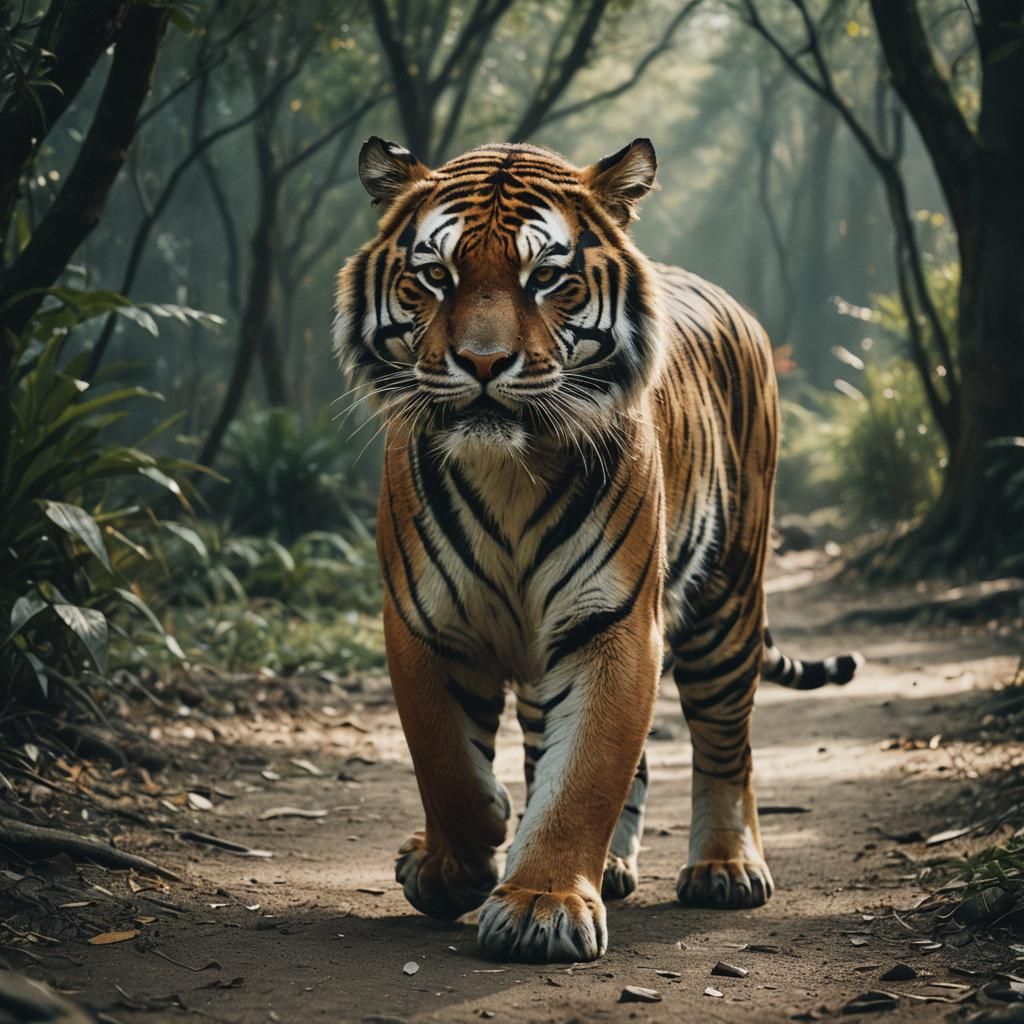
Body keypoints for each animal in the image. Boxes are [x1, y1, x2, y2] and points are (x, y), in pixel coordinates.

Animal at [332, 136, 861, 964]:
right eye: (436, 276)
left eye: (546, 278)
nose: (483, 363)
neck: (510, 469)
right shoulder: (425, 621)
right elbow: (447, 764)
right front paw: (462, 852)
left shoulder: (612, 623)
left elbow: (584, 772)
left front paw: (540, 904)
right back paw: (603, 864)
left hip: (727, 604)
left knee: (725, 744)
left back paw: (726, 867)